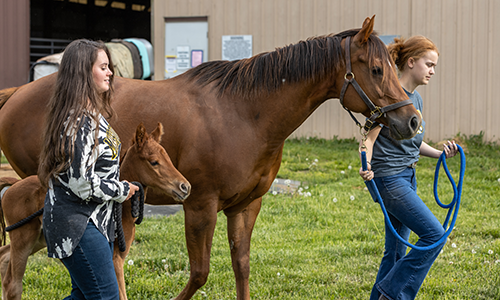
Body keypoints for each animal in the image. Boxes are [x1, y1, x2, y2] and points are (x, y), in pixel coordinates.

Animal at [0, 122, 190, 300]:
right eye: (154, 162)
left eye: (168, 159)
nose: (185, 187)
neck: (122, 210)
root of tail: (13, 185)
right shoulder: (114, 259)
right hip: (23, 238)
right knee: (13, 283)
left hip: (39, 240)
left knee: (4, 257)